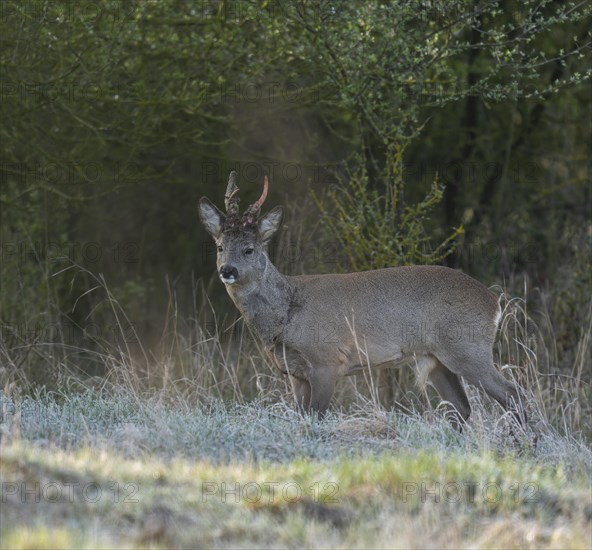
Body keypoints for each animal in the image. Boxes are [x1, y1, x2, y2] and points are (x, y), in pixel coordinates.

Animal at [201, 172, 524, 426]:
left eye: (250, 249)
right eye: (219, 246)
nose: (227, 270)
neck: (287, 313)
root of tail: (494, 303)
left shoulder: (327, 359)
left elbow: (317, 416)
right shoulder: (295, 372)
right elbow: (301, 416)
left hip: (468, 347)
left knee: (512, 393)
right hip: (437, 358)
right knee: (461, 407)